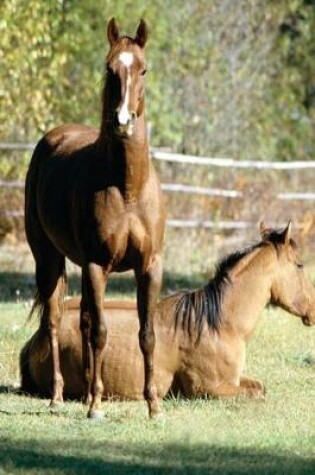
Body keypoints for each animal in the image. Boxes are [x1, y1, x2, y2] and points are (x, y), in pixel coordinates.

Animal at [21, 225, 314, 400]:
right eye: (299, 265)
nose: (312, 309)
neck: (219, 324)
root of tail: (37, 339)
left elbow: (261, 387)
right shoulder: (209, 389)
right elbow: (257, 394)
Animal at [25, 18, 165, 420]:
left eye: (143, 69)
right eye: (109, 69)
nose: (122, 121)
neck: (127, 188)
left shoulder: (150, 266)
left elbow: (147, 334)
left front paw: (153, 406)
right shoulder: (97, 265)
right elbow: (102, 332)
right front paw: (97, 407)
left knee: (84, 320)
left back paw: (86, 392)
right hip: (50, 259)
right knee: (56, 320)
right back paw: (59, 397)